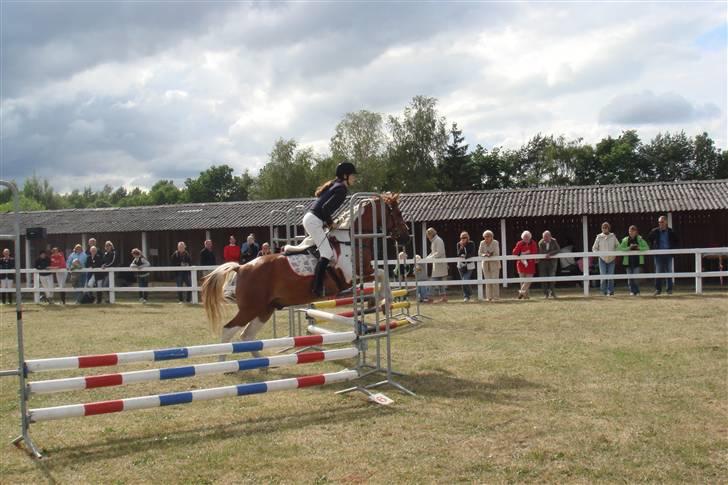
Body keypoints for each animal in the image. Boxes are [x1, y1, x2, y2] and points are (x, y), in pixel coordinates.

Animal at [202, 192, 410, 348]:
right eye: (398, 213)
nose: (406, 236)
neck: (350, 238)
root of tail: (242, 267)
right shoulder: (351, 276)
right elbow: (382, 273)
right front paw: (384, 300)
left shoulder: (362, 271)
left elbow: (381, 273)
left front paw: (377, 301)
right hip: (250, 308)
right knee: (228, 330)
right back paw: (226, 364)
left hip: (264, 309)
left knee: (247, 336)